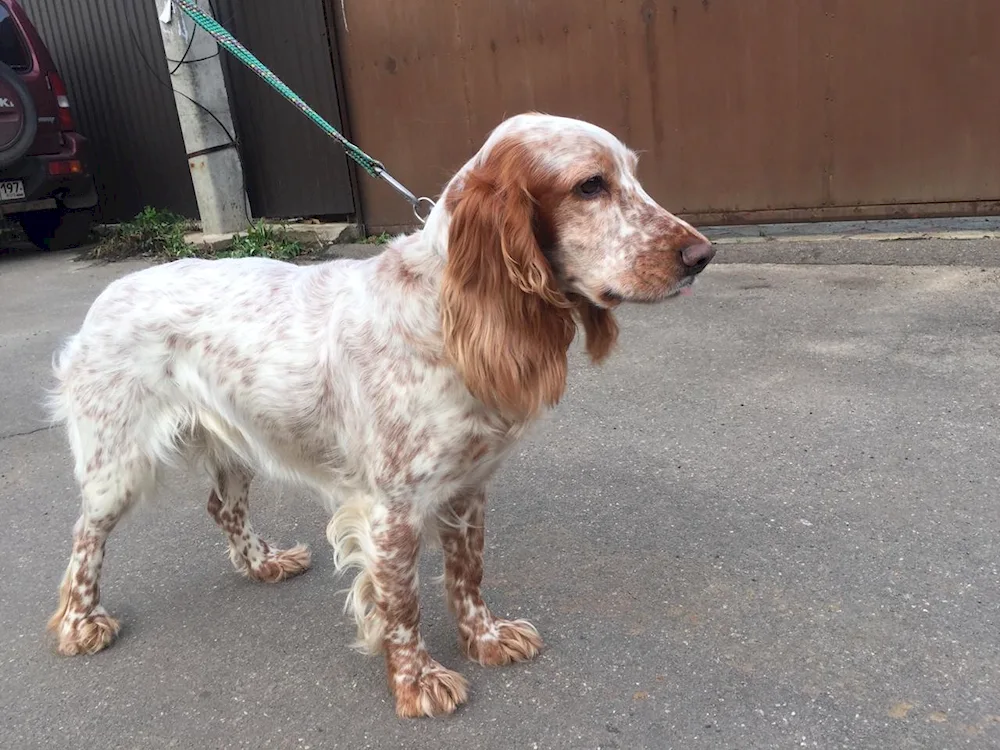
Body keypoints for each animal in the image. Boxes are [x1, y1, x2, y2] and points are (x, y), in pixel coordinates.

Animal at [47, 111, 716, 716]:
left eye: (632, 176)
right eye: (590, 185)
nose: (703, 254)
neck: (445, 314)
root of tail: (106, 294)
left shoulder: (467, 488)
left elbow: (467, 575)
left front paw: (485, 639)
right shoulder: (392, 509)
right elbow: (401, 603)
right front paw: (417, 683)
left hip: (236, 443)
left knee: (222, 507)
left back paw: (264, 565)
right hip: (117, 463)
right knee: (85, 537)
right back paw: (81, 624)